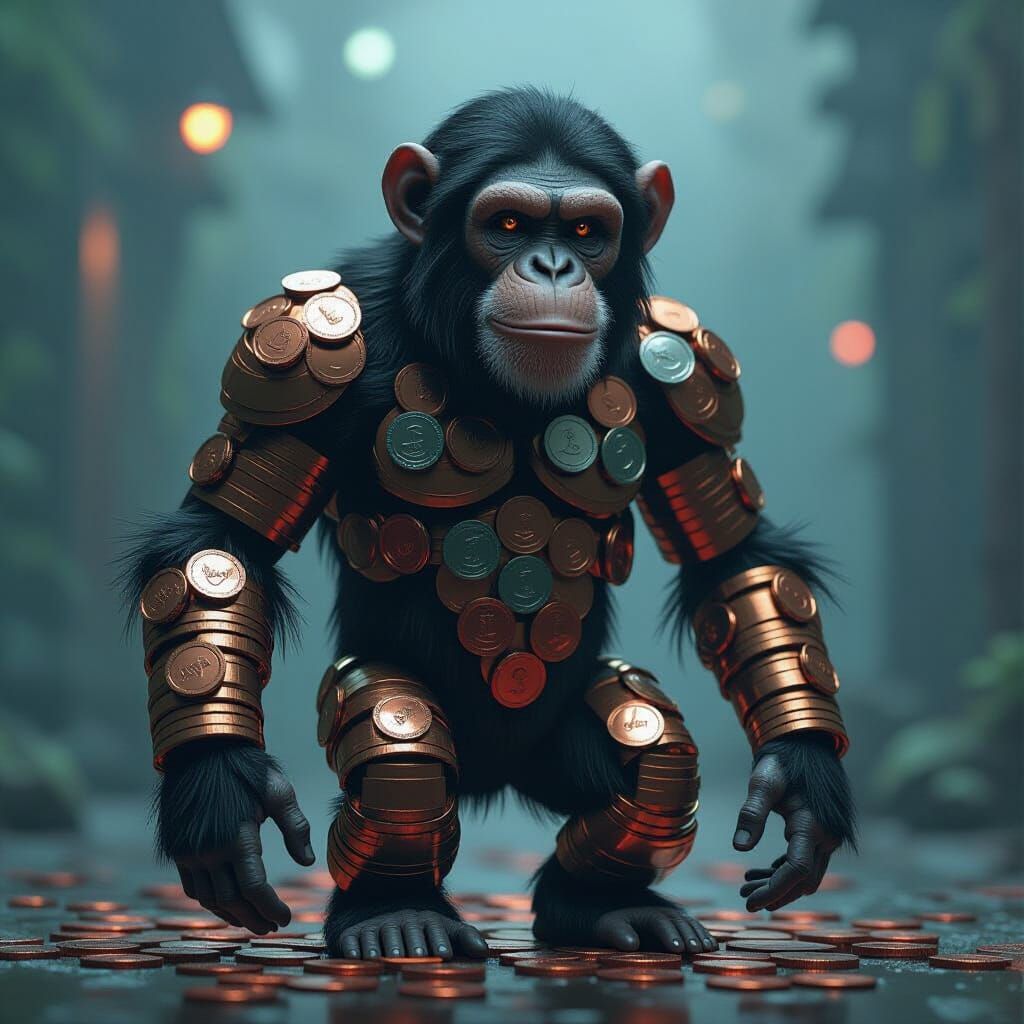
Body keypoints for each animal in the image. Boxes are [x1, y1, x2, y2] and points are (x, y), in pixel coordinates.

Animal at [122, 87, 855, 961]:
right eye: (507, 224)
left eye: (587, 232)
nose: (553, 267)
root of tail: (494, 782)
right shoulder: (310, 343)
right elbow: (224, 545)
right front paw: (221, 793)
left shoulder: (685, 363)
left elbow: (734, 562)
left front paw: (802, 779)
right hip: (386, 703)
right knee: (405, 771)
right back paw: (396, 911)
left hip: (571, 737)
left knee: (658, 765)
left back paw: (599, 904)